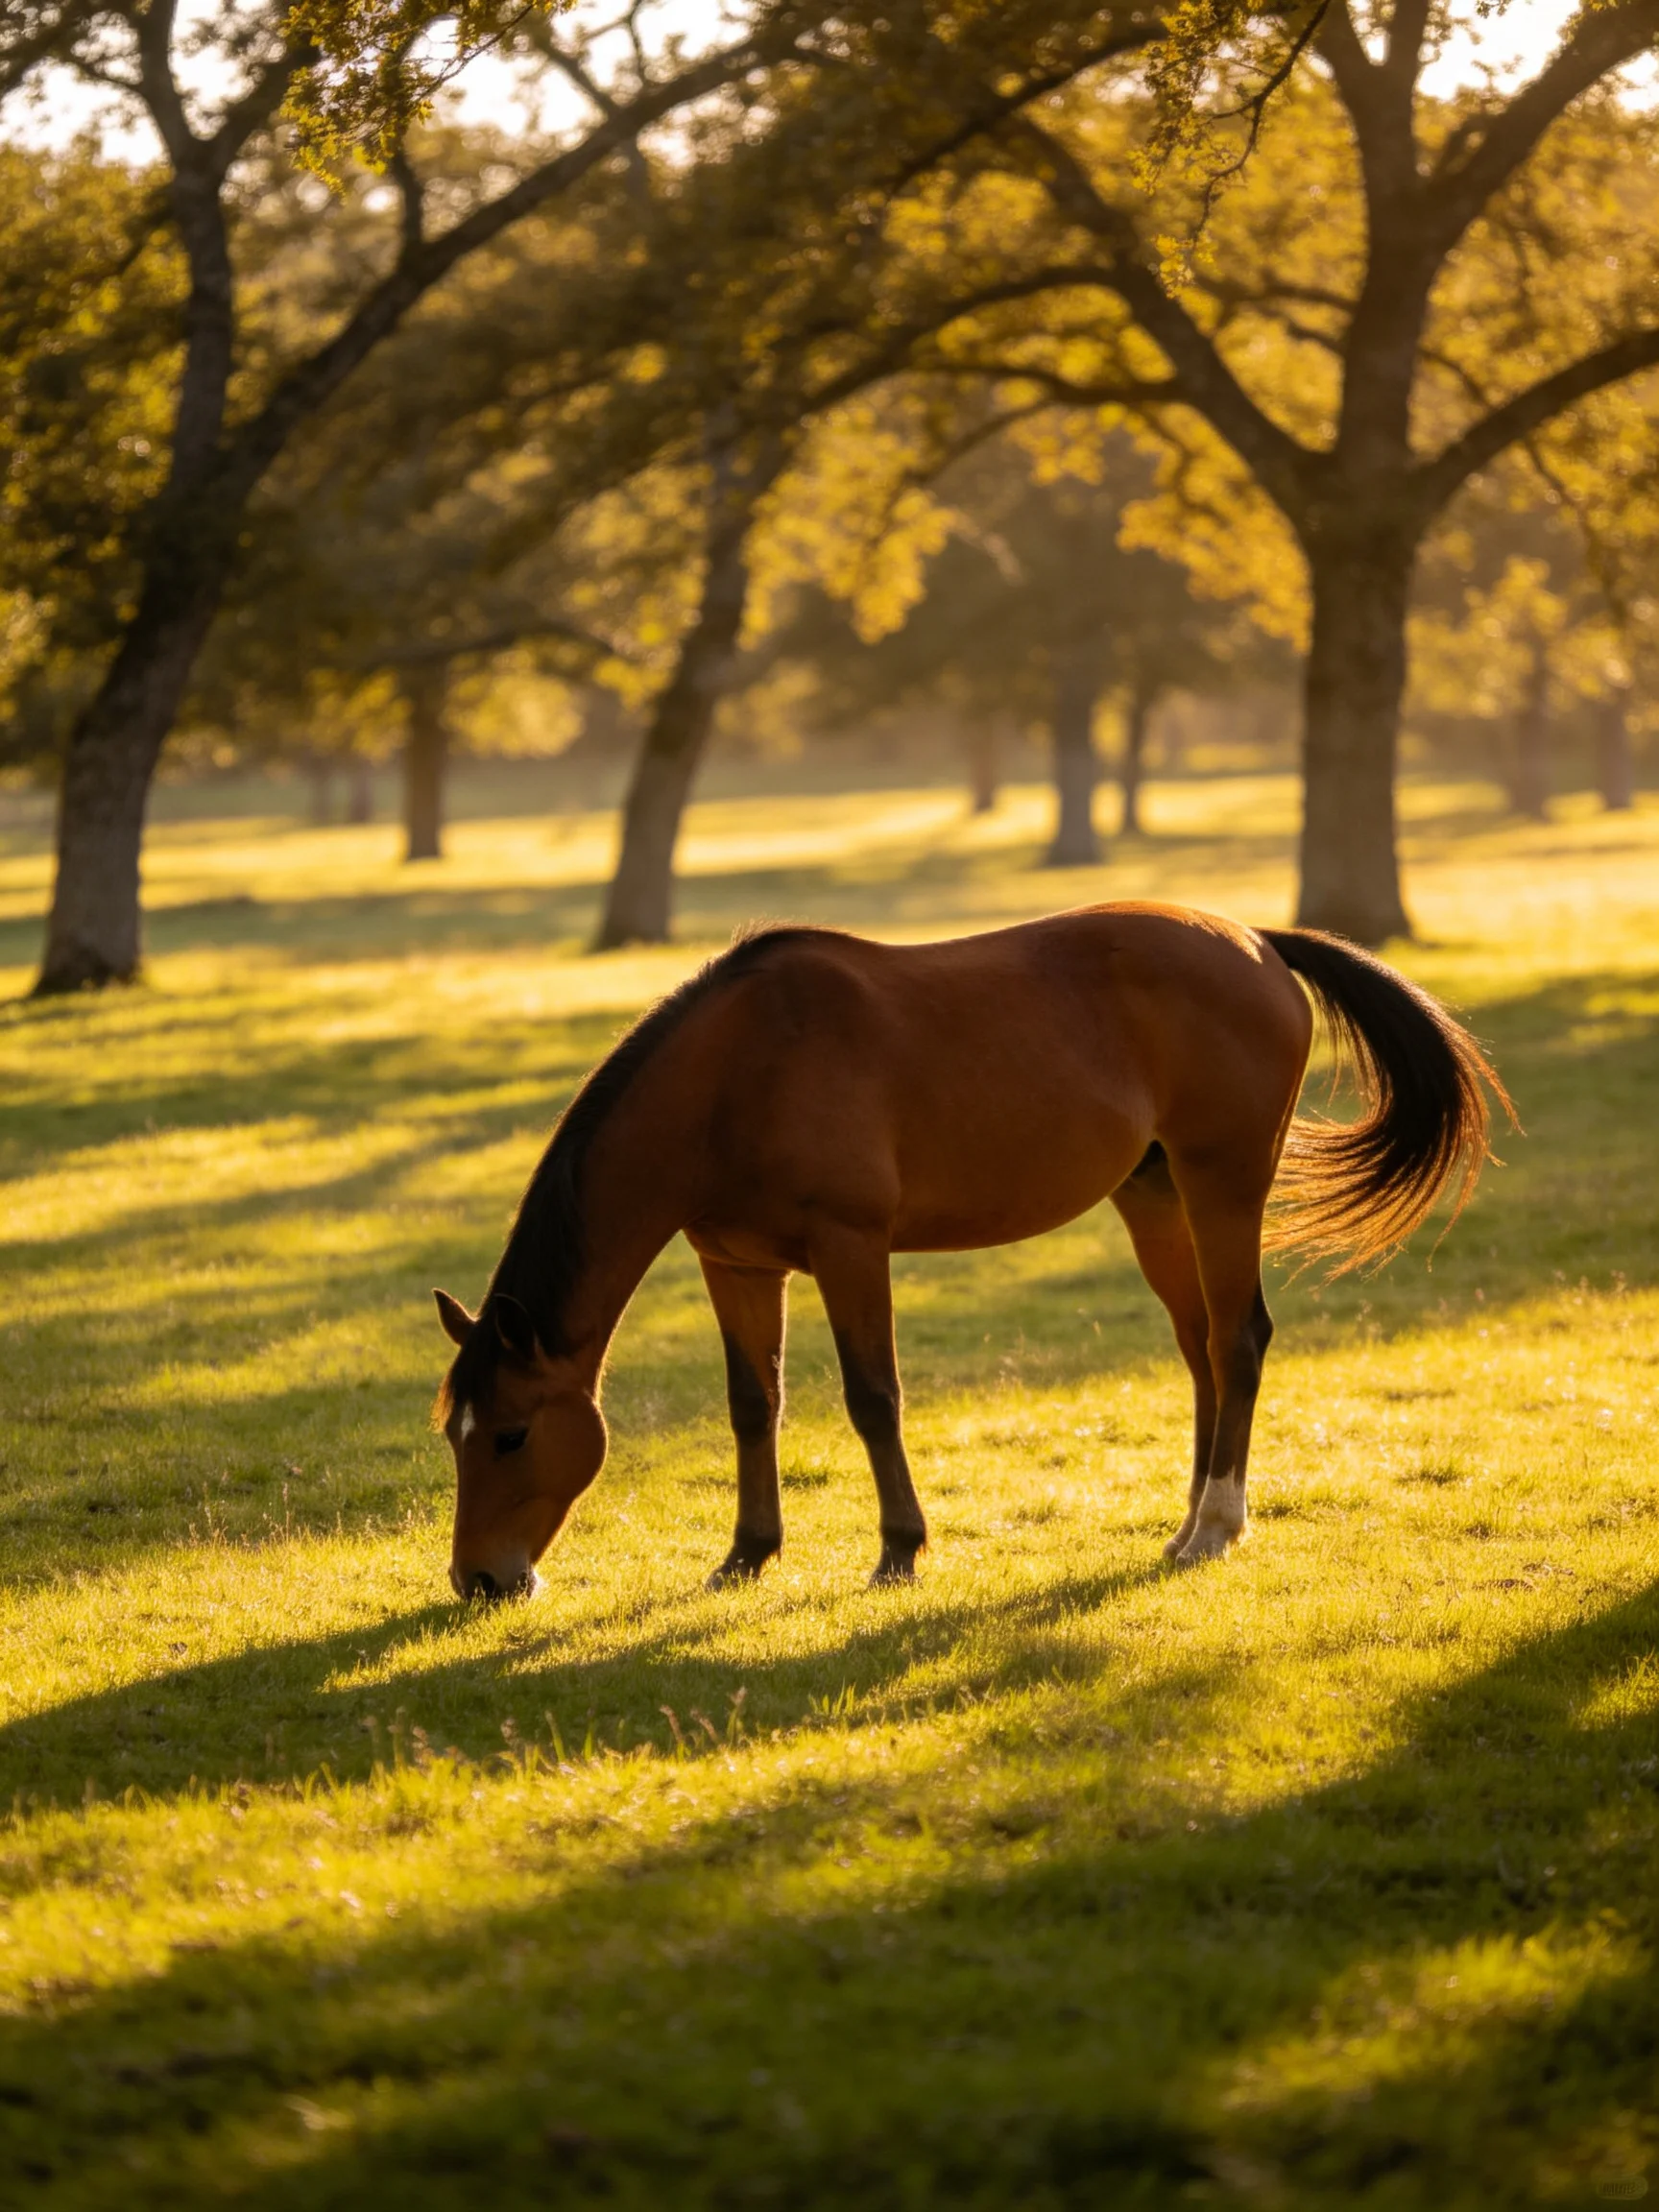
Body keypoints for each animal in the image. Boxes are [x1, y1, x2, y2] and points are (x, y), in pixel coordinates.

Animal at [433, 905, 1508, 1599]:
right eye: (455, 1434)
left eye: (512, 1434)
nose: (479, 1579)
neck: (738, 1072)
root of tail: (1254, 944)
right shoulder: (736, 1265)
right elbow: (752, 1406)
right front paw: (747, 1555)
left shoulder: (851, 1249)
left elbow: (873, 1399)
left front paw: (900, 1551)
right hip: (1155, 1195)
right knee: (1202, 1348)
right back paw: (1185, 1523)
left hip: (1222, 1183)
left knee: (1238, 1340)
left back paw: (1218, 1526)